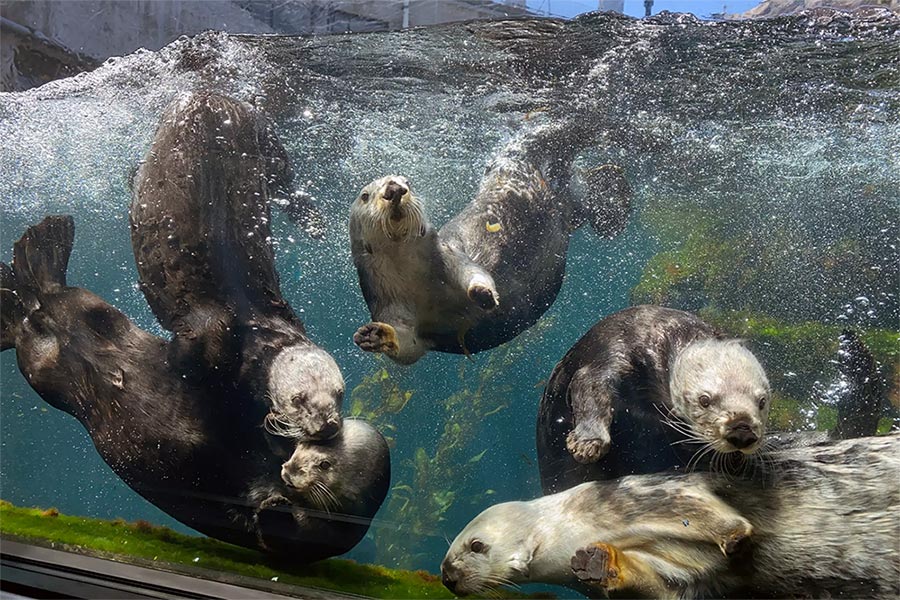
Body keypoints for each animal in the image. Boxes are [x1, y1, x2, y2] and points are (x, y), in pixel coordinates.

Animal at [0, 217, 388, 564]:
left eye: (323, 463)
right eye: (299, 399)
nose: (327, 426)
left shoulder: (315, 538)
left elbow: (276, 534)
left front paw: (270, 506)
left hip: (45, 374)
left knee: (33, 327)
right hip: (96, 312)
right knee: (62, 299)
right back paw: (42, 247)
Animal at [132, 92, 342, 440]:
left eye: (339, 393)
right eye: (298, 399)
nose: (328, 424)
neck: (256, 331)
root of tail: (212, 94)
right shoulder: (212, 332)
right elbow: (188, 355)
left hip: (267, 140)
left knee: (286, 183)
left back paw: (314, 222)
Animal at [348, 120, 628, 366]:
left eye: (408, 182)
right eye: (365, 195)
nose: (394, 188)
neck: (416, 278)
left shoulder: (450, 256)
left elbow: (473, 273)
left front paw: (483, 294)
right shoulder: (388, 304)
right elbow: (408, 348)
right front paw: (376, 336)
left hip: (521, 163)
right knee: (581, 194)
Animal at [442, 434, 900, 596]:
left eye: (475, 546)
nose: (446, 577)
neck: (569, 527)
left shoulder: (648, 497)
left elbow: (707, 510)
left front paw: (735, 536)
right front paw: (597, 564)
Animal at [536, 304, 768, 492]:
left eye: (762, 402)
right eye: (704, 400)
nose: (742, 430)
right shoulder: (615, 350)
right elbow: (590, 387)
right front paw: (589, 442)